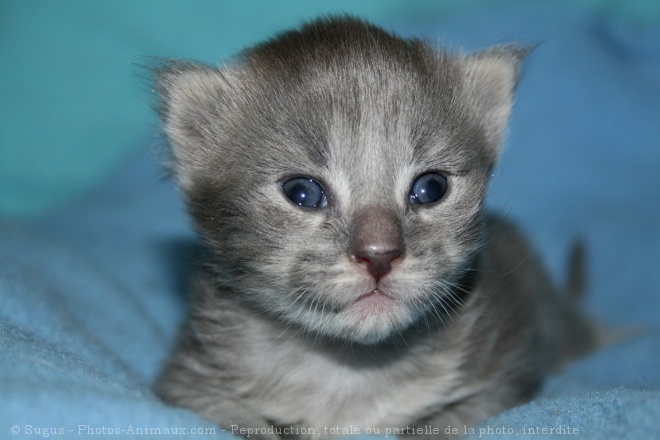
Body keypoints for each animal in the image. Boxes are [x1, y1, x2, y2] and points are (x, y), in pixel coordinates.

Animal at [153, 16, 592, 436]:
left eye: (430, 188)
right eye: (302, 193)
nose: (379, 256)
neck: (351, 370)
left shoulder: (504, 374)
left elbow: (448, 423)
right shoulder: (189, 380)